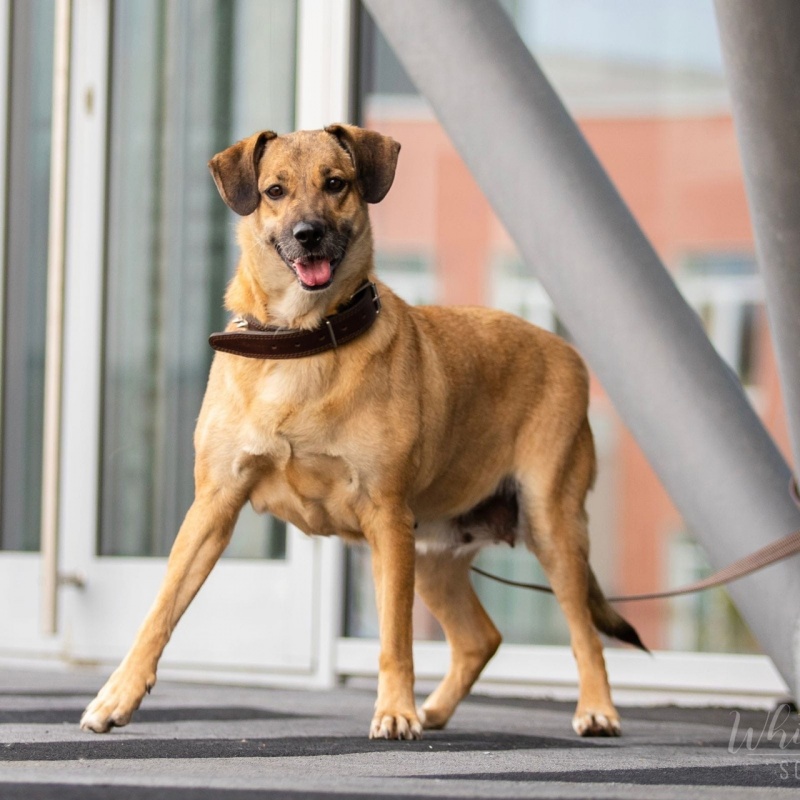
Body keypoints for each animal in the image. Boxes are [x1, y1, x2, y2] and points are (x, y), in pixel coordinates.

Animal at [79, 122, 644, 740]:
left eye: (336, 184)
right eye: (274, 191)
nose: (308, 235)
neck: (300, 340)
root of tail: (566, 350)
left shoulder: (386, 519)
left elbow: (395, 637)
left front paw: (394, 710)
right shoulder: (213, 505)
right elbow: (160, 610)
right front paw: (118, 694)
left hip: (550, 526)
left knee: (584, 635)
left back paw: (596, 709)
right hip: (433, 556)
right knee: (481, 638)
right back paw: (437, 710)